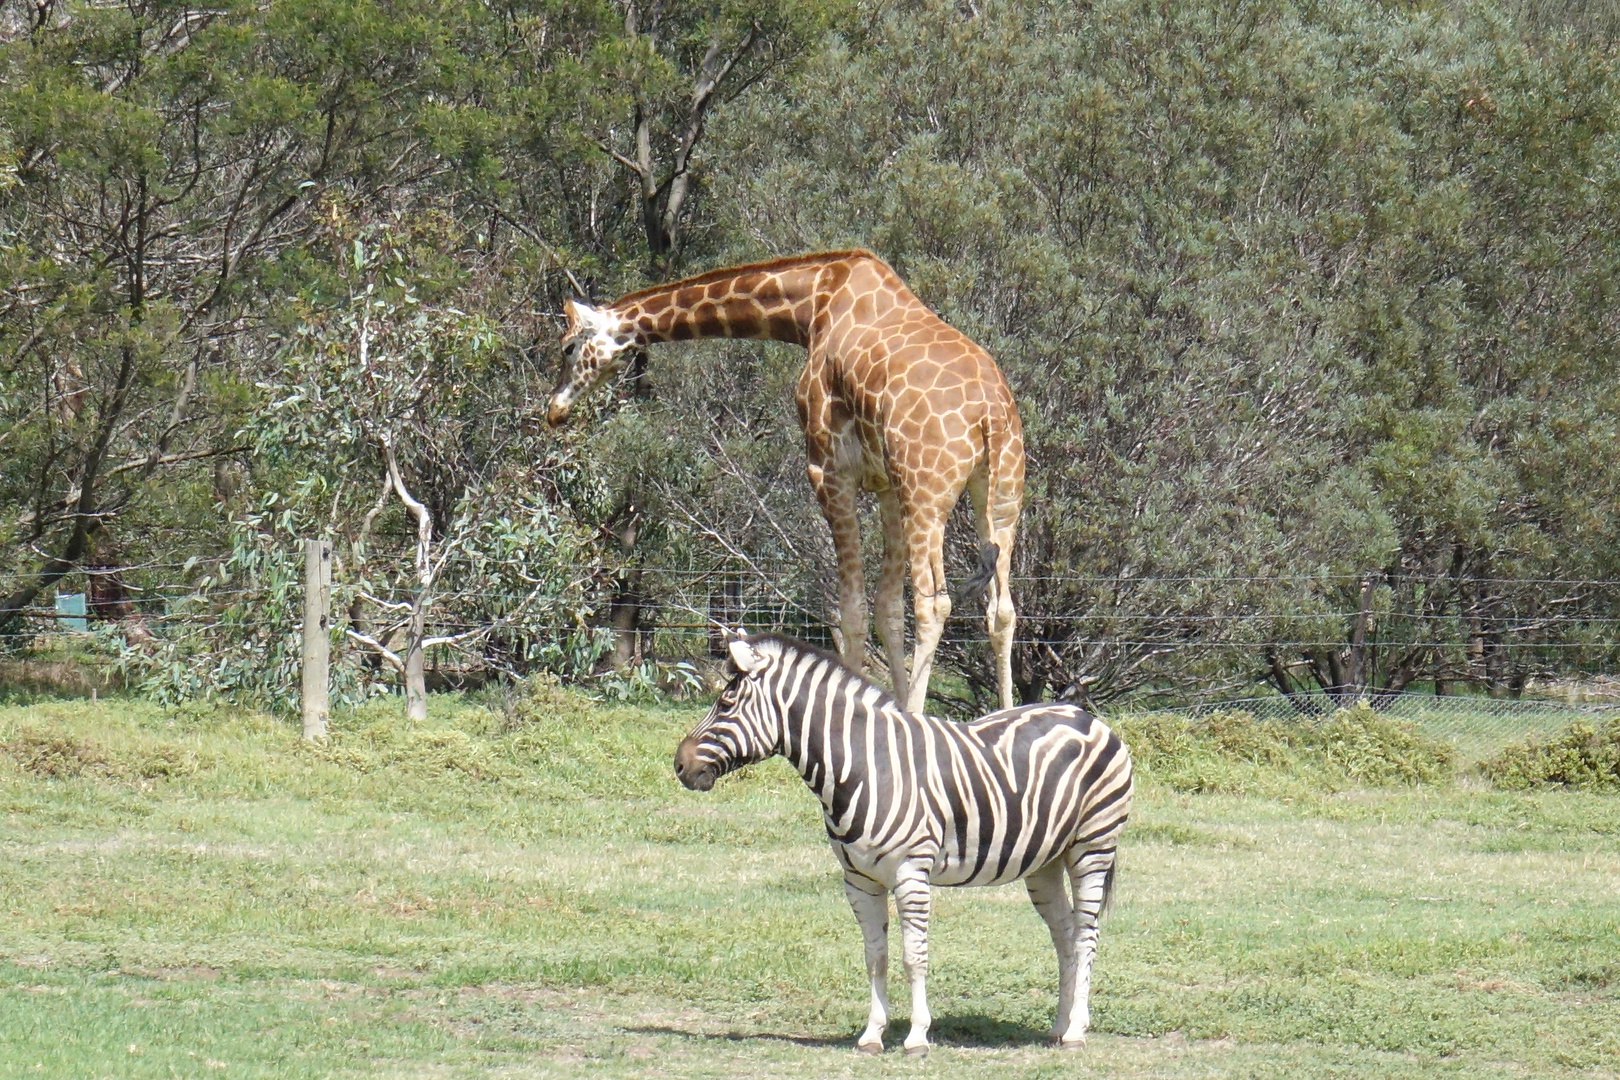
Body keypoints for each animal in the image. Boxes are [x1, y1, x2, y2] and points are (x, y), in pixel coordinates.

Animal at [547, 249, 1023, 712]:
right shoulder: (887, 483)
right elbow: (887, 609)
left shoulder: (829, 470)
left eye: (568, 347)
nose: (554, 411)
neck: (810, 306)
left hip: (928, 493)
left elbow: (851, 611)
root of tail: (990, 414)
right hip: (1000, 495)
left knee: (934, 603)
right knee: (1001, 610)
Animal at [670, 634, 1127, 1055]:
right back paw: (1059, 1026)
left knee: (1086, 933)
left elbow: (913, 954)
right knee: (1065, 934)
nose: (679, 764)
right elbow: (875, 956)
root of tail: (1086, 717)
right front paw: (873, 1034)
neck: (863, 764)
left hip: (1092, 846)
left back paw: (1076, 1030)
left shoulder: (911, 872)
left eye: (725, 704)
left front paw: (917, 1037)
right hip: (1045, 861)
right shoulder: (858, 880)